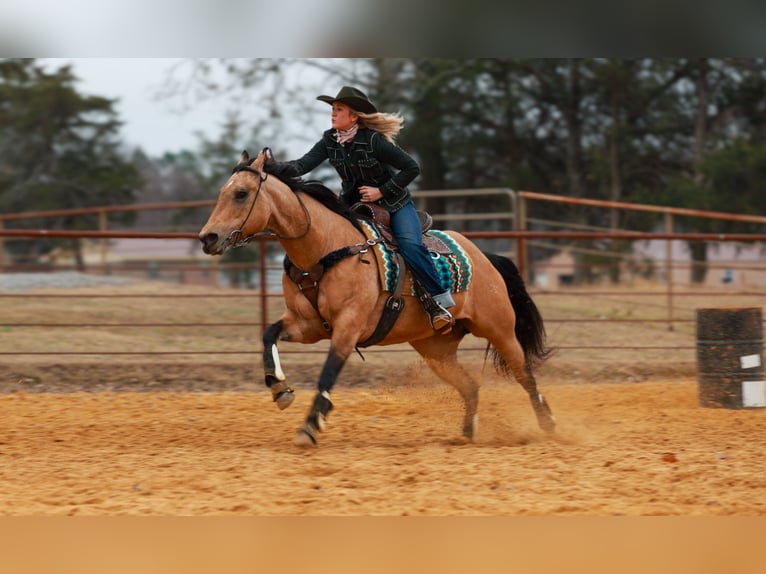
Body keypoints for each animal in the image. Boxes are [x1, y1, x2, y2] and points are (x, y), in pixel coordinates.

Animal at [198, 148, 555, 447]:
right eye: (222, 193)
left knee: (525, 375)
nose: (207, 237)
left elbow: (328, 372)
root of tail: (484, 257)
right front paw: (280, 388)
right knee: (470, 386)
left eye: (241, 193)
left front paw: (310, 426)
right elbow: (268, 334)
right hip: (436, 349)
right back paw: (467, 433)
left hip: (499, 329)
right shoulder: (306, 325)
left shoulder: (347, 328)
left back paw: (548, 424)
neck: (326, 249)